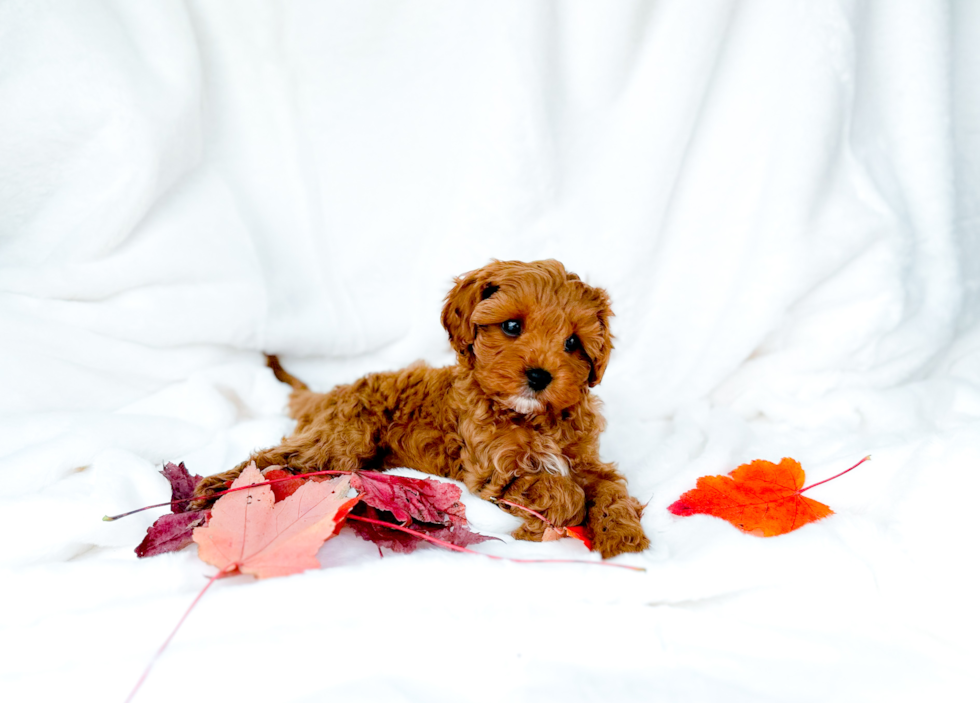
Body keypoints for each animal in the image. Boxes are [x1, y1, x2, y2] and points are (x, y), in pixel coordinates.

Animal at [194, 262, 648, 560]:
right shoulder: (495, 470)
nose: (540, 376)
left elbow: (611, 489)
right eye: (512, 327)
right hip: (339, 440)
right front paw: (538, 526)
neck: (534, 417)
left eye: (573, 343)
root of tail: (335, 391)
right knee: (278, 460)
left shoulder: (587, 461)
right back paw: (215, 491)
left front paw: (623, 536)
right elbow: (563, 491)